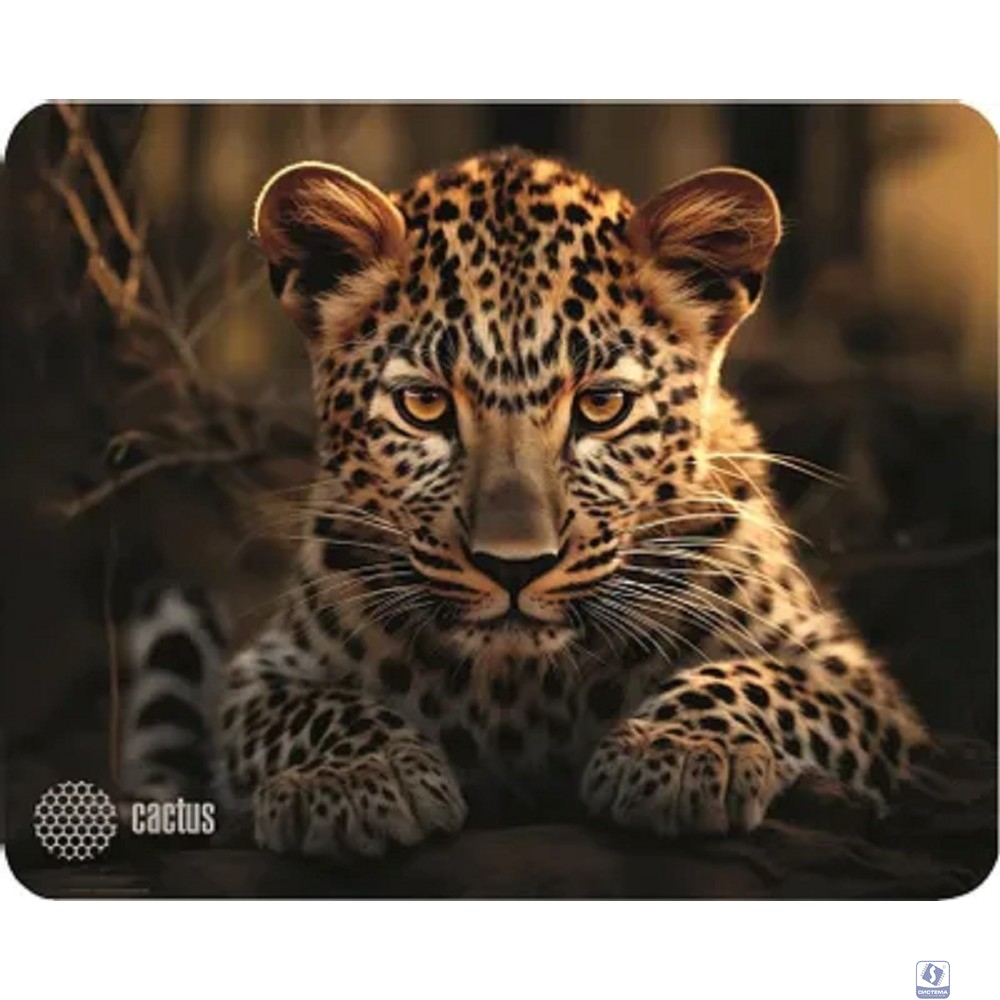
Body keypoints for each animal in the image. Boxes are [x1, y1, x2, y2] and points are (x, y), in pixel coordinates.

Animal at [121, 148, 927, 860]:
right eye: (423, 405)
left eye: (602, 406)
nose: (515, 567)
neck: (522, 684)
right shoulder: (265, 674)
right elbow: (315, 709)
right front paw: (356, 778)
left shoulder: (852, 679)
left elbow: (752, 679)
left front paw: (681, 750)